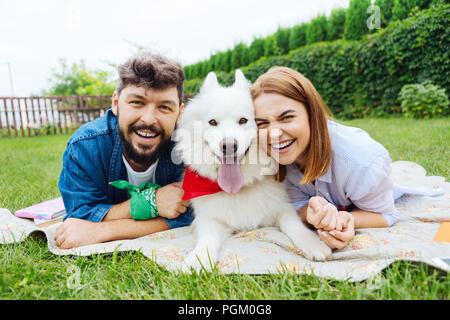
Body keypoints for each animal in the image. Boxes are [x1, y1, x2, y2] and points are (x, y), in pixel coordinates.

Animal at [174, 70, 332, 272]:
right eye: (212, 122)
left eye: (243, 120)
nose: (228, 146)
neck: (240, 188)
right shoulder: (209, 220)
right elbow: (207, 241)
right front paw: (198, 259)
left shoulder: (283, 209)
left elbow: (295, 226)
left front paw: (313, 244)